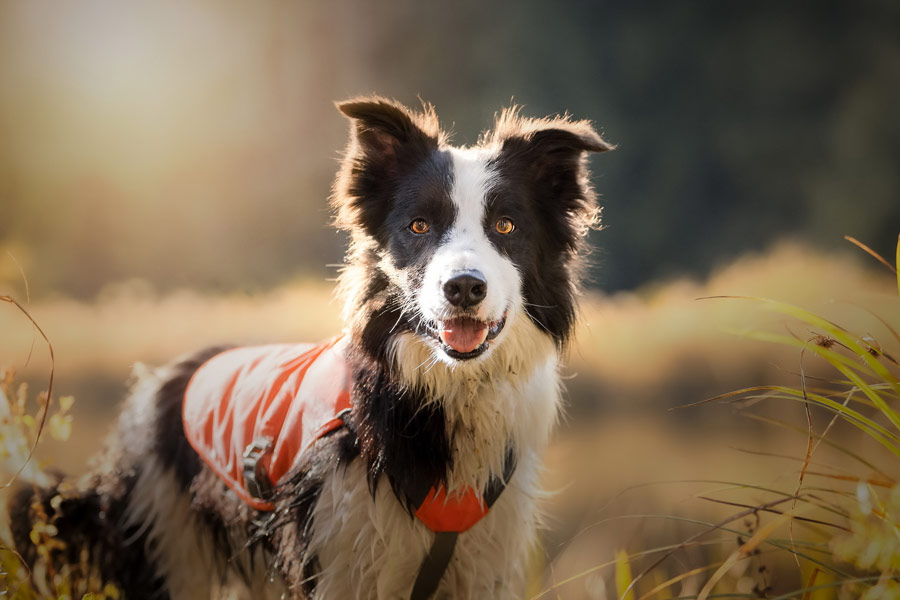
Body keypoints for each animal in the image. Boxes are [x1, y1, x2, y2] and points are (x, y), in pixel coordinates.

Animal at [7, 96, 612, 596]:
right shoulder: (338, 550)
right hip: (163, 536)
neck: (439, 396)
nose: (463, 287)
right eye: (419, 226)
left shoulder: (481, 560)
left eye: (506, 226)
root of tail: (168, 374)